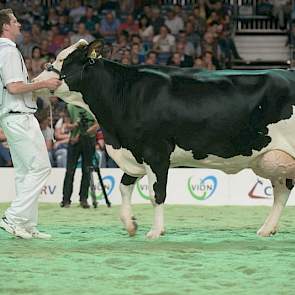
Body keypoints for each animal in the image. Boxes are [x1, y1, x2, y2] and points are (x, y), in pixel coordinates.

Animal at [34, 39, 295, 239]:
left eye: (64, 60)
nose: (36, 80)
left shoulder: (156, 152)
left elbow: (156, 194)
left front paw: (155, 231)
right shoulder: (135, 151)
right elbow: (124, 186)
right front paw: (130, 224)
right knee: (282, 191)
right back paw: (266, 229)